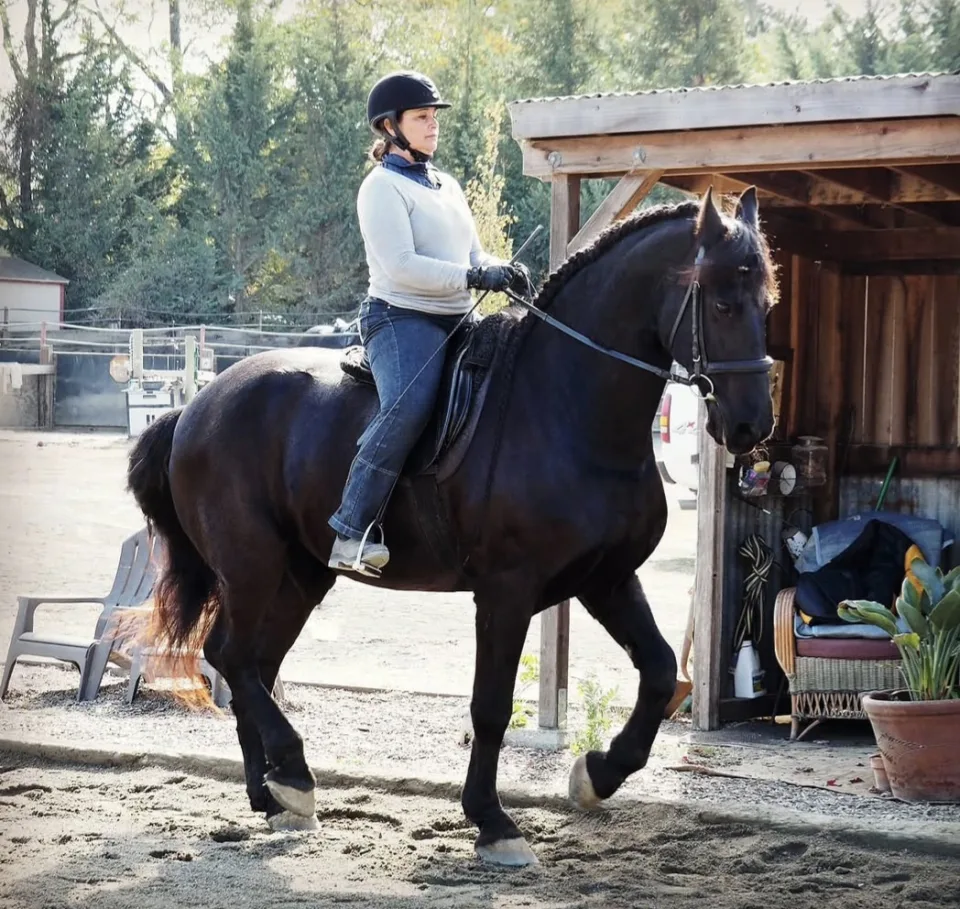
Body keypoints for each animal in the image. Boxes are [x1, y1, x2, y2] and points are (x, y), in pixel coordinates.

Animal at [127, 186, 776, 867]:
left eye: (766, 303)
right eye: (723, 303)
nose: (752, 426)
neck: (566, 407)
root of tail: (195, 407)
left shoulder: (607, 578)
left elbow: (658, 672)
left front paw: (596, 774)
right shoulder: (506, 591)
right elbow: (490, 706)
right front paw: (493, 821)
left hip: (300, 575)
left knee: (254, 662)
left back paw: (272, 793)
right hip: (251, 564)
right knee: (232, 656)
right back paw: (295, 777)